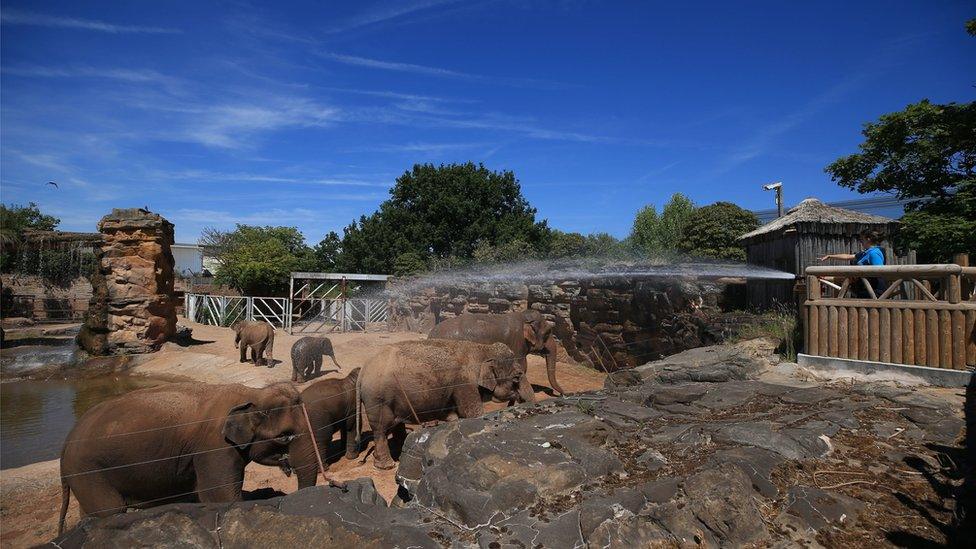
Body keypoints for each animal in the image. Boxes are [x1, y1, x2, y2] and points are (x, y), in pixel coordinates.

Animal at [58, 382, 302, 532]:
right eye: (285, 437)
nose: (288, 465)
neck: (252, 394)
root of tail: (65, 443)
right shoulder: (214, 449)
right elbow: (221, 498)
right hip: (87, 470)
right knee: (110, 510)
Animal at [358, 336, 528, 468]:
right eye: (516, 377)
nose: (517, 401)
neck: (481, 348)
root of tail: (363, 369)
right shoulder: (464, 383)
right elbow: (472, 414)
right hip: (378, 400)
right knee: (381, 429)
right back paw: (387, 466)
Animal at [428, 308, 564, 402]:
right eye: (548, 333)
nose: (563, 394)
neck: (522, 316)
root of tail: (430, 334)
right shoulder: (517, 343)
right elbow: (522, 366)